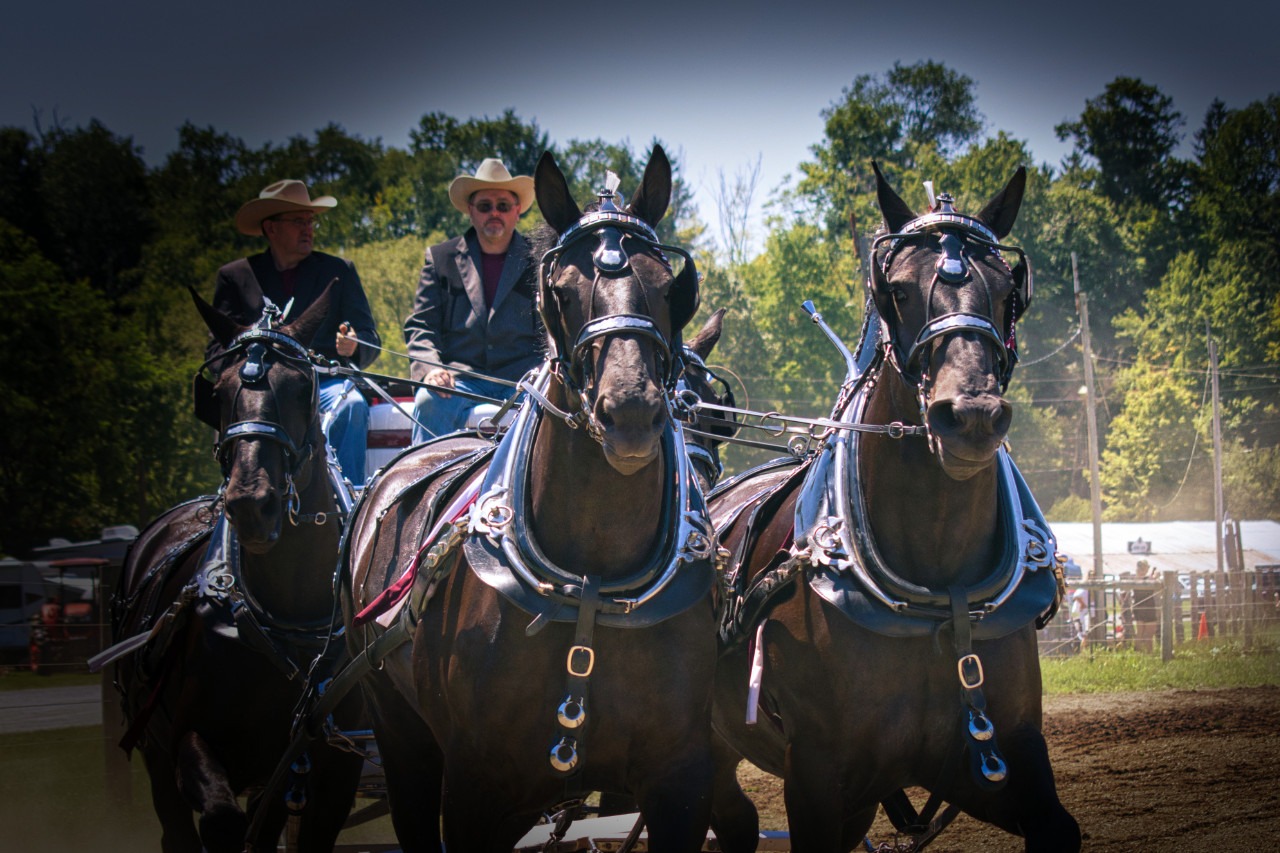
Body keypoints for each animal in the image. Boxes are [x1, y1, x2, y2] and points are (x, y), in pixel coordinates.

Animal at [107, 290, 363, 850]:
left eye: (303, 387)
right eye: (218, 391)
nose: (251, 503)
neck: (290, 612)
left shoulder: (332, 762)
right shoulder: (192, 740)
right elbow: (223, 822)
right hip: (154, 748)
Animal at [340, 147, 721, 850]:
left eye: (669, 288)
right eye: (558, 292)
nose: (631, 411)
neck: (593, 582)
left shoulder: (682, 780)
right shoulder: (474, 788)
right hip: (397, 730)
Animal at [711, 162, 1080, 845]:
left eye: (1005, 291)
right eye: (900, 291)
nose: (972, 414)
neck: (935, 590)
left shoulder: (1005, 753)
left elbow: (1056, 824)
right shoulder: (818, 782)